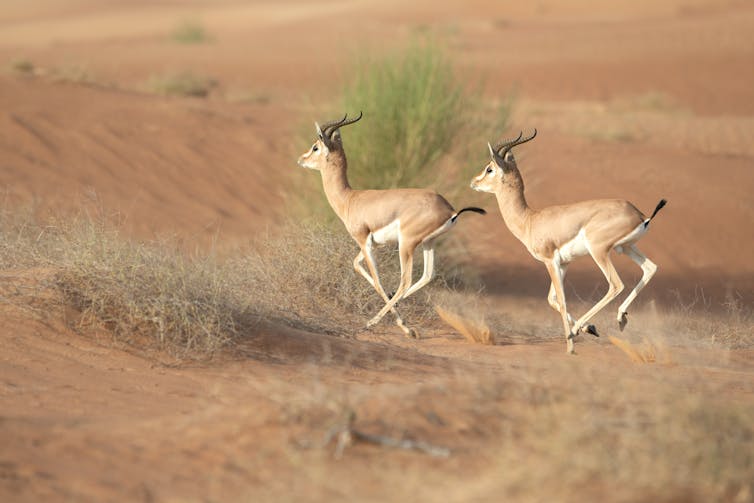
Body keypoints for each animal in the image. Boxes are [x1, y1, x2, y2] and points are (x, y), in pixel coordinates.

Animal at [298, 112, 486, 338]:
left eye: (315, 147)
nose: (301, 159)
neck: (350, 199)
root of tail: (450, 210)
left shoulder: (363, 241)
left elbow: (377, 280)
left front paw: (397, 325)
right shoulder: (374, 245)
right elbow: (357, 265)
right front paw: (400, 320)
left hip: (406, 244)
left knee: (405, 281)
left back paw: (378, 323)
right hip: (428, 243)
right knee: (427, 275)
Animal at [470, 129, 666, 354]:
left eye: (490, 168)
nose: (473, 182)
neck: (530, 220)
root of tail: (639, 215)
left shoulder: (550, 261)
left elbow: (562, 301)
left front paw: (571, 346)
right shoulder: (564, 264)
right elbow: (552, 299)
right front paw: (590, 329)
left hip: (599, 251)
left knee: (616, 284)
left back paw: (576, 331)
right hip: (626, 247)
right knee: (650, 268)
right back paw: (619, 319)